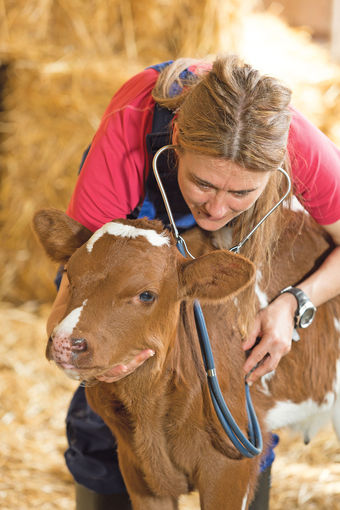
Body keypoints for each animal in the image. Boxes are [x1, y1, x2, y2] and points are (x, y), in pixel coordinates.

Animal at [33, 208, 340, 510]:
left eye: (147, 295)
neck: (150, 413)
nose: (65, 343)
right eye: (69, 274)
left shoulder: (231, 467)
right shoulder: (136, 467)